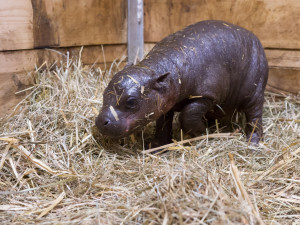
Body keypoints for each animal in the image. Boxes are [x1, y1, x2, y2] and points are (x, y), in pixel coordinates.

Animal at [95, 20, 268, 147]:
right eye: (104, 93)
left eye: (131, 101)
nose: (100, 121)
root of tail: (255, 38)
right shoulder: (164, 103)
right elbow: (163, 125)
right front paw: (156, 146)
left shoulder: (206, 96)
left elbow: (188, 114)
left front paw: (202, 133)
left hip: (255, 93)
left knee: (255, 117)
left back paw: (252, 144)